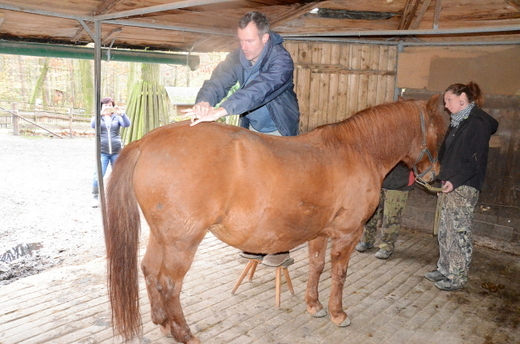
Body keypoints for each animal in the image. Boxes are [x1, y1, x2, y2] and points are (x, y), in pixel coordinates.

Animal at [106, 94, 446, 344]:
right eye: (439, 132)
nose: (435, 175)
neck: (356, 150)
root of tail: (148, 141)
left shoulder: (319, 232)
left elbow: (317, 267)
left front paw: (314, 305)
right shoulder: (348, 233)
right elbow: (339, 274)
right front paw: (338, 313)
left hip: (161, 236)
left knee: (149, 271)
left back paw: (162, 322)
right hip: (182, 242)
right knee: (168, 284)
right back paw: (183, 332)